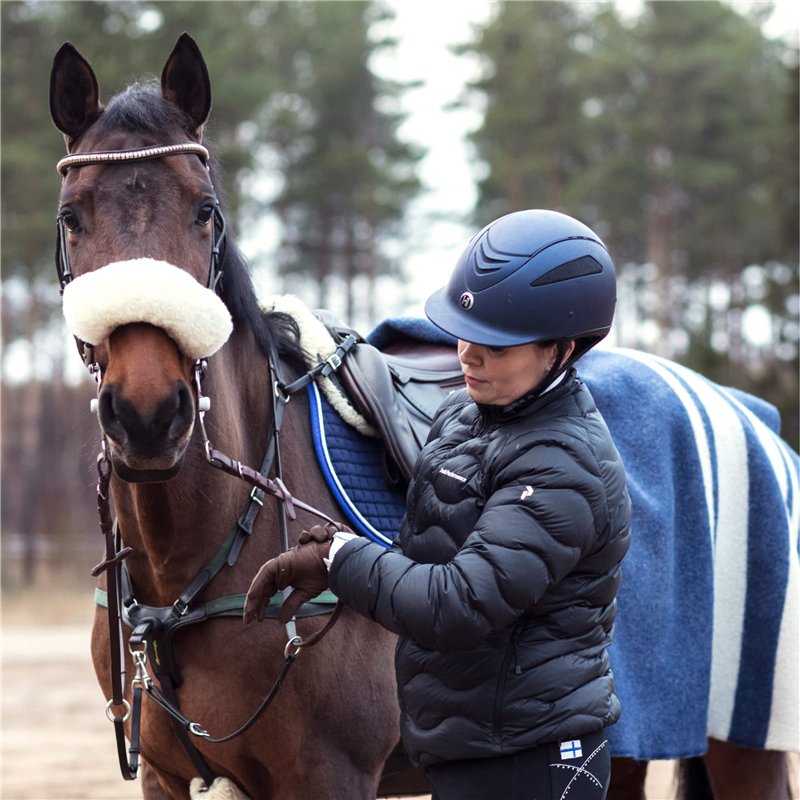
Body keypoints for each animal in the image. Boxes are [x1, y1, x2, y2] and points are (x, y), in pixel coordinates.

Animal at [50, 34, 798, 800]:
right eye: (73, 217)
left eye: (203, 211)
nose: (147, 413)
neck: (190, 573)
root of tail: (750, 414)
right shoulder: (164, 777)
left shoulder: (331, 774)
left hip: (744, 739)